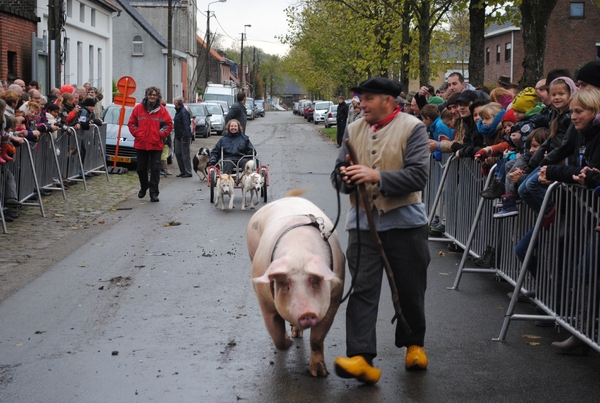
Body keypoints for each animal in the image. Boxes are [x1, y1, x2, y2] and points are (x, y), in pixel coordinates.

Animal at [246, 193, 344, 378]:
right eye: (286, 285)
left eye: (315, 281)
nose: (307, 313)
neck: (298, 253)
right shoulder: (264, 302)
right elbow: (275, 334)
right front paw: (289, 344)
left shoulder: (334, 300)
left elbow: (317, 339)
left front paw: (319, 374)